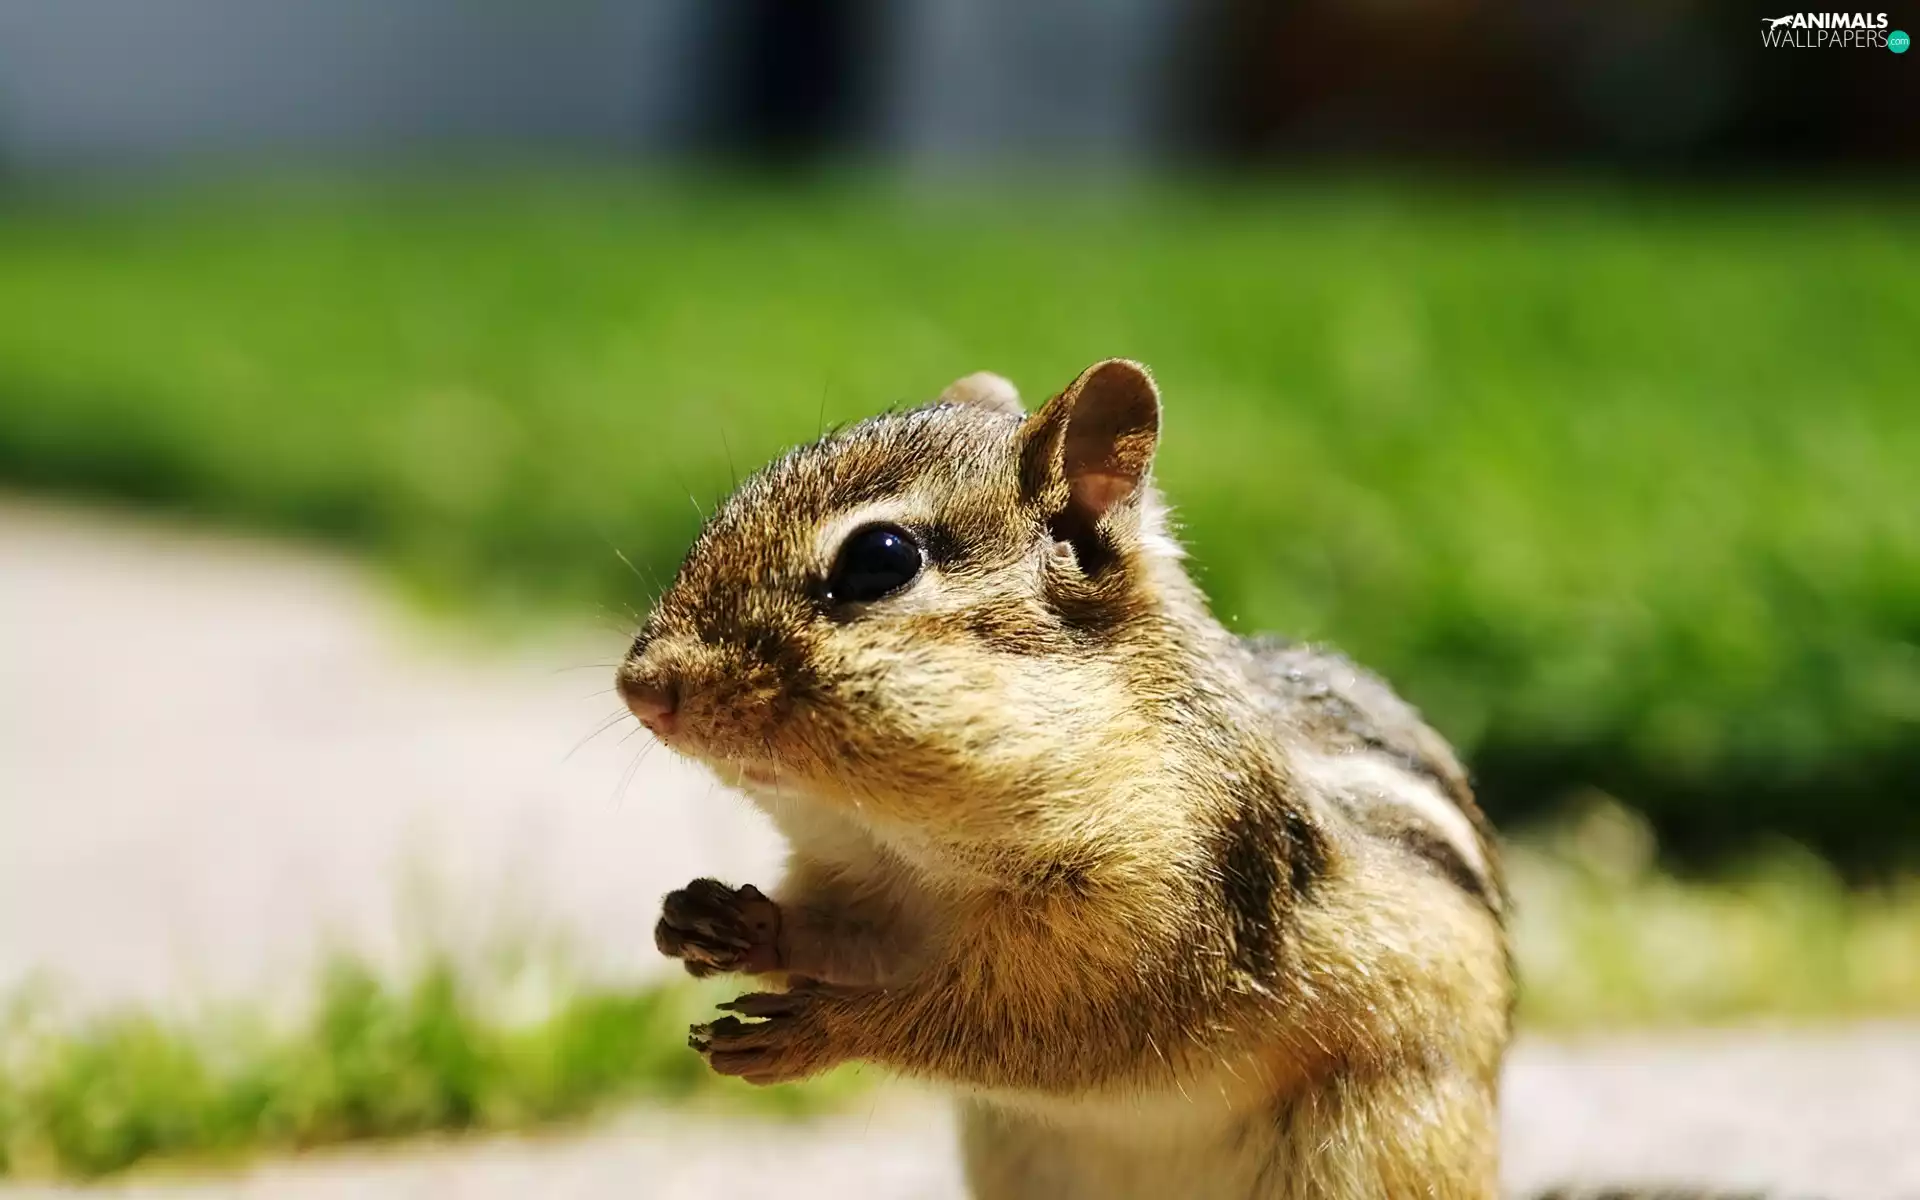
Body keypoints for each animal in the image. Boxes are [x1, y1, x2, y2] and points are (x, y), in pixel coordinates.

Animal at [616, 359, 1515, 1198]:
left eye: (881, 561)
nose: (641, 687)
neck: (914, 850)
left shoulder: (1163, 918)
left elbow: (1026, 1028)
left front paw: (823, 1030)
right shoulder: (882, 904)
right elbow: (845, 939)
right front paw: (729, 920)